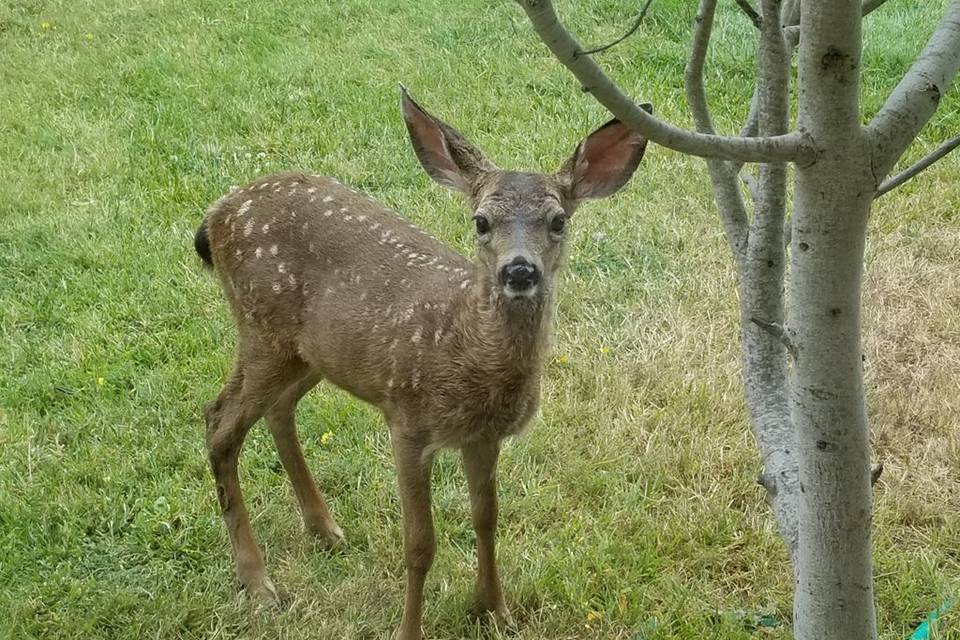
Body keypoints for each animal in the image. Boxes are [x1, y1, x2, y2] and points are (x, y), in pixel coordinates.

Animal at [193, 86, 644, 640]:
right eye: (481, 221)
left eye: (558, 221)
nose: (519, 270)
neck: (462, 343)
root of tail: (216, 214)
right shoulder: (407, 420)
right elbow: (420, 545)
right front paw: (411, 629)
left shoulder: (482, 436)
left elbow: (486, 518)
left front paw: (495, 610)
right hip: (262, 330)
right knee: (219, 422)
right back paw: (258, 582)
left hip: (310, 353)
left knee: (277, 410)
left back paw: (325, 529)